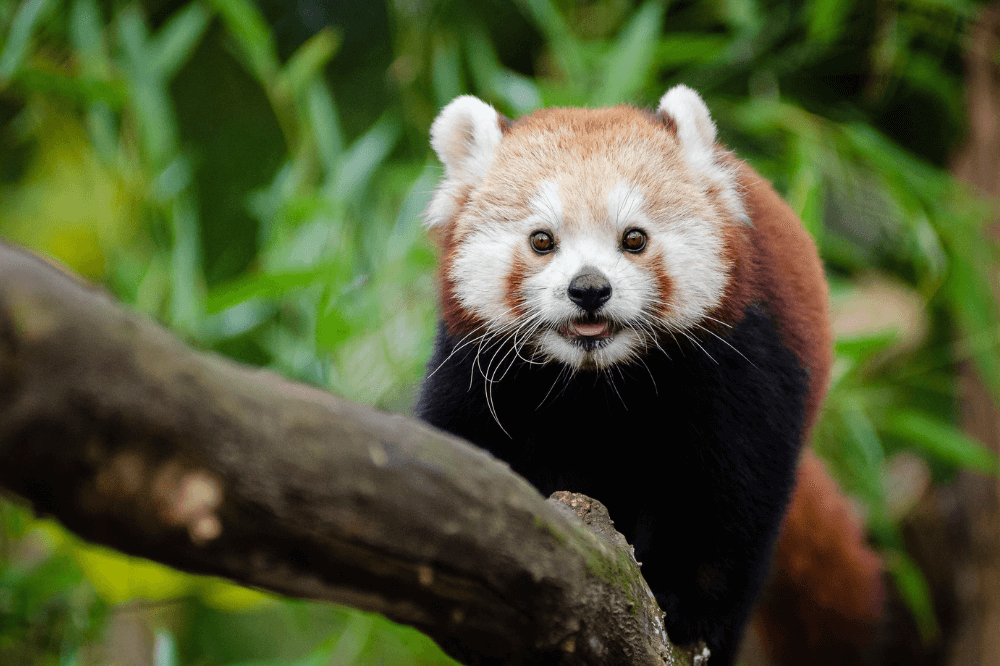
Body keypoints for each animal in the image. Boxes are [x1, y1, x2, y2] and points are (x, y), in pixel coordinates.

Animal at [414, 88, 884, 664]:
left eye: (633, 238)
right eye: (542, 240)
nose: (589, 288)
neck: (596, 382)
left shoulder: (740, 366)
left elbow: (721, 502)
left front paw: (685, 606)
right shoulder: (475, 367)